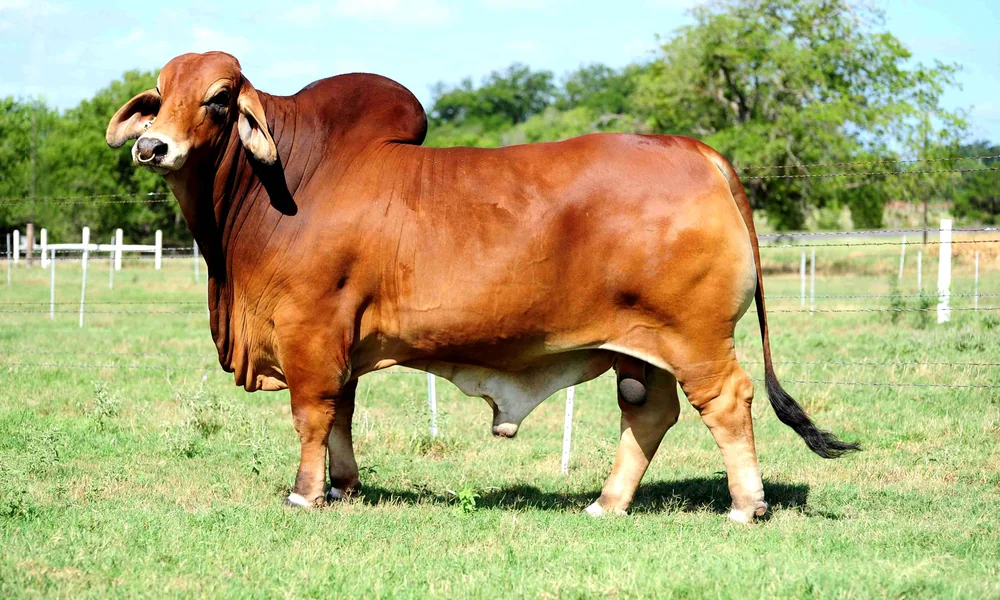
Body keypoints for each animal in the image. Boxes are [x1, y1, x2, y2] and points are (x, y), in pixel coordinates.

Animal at [107, 52, 857, 523]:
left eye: (219, 99)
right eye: (159, 99)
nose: (152, 147)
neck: (284, 182)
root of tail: (699, 152)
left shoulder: (310, 331)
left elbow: (313, 413)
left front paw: (305, 494)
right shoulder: (339, 338)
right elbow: (343, 413)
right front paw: (345, 488)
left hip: (696, 337)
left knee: (727, 402)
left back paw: (745, 505)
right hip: (640, 348)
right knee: (649, 415)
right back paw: (607, 503)